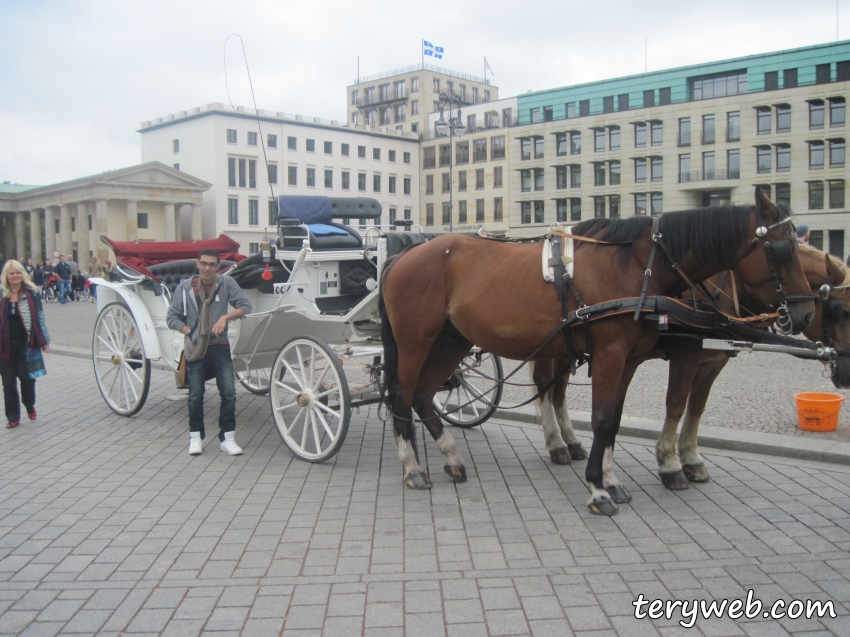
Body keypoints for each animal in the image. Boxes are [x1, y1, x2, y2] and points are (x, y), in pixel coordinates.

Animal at [380, 186, 816, 516]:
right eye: (783, 249)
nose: (806, 312)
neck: (636, 265)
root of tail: (405, 255)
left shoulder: (630, 359)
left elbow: (615, 421)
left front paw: (610, 478)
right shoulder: (613, 354)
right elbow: (605, 419)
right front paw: (600, 489)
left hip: (451, 340)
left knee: (423, 395)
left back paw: (451, 457)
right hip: (416, 340)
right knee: (401, 394)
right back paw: (412, 466)